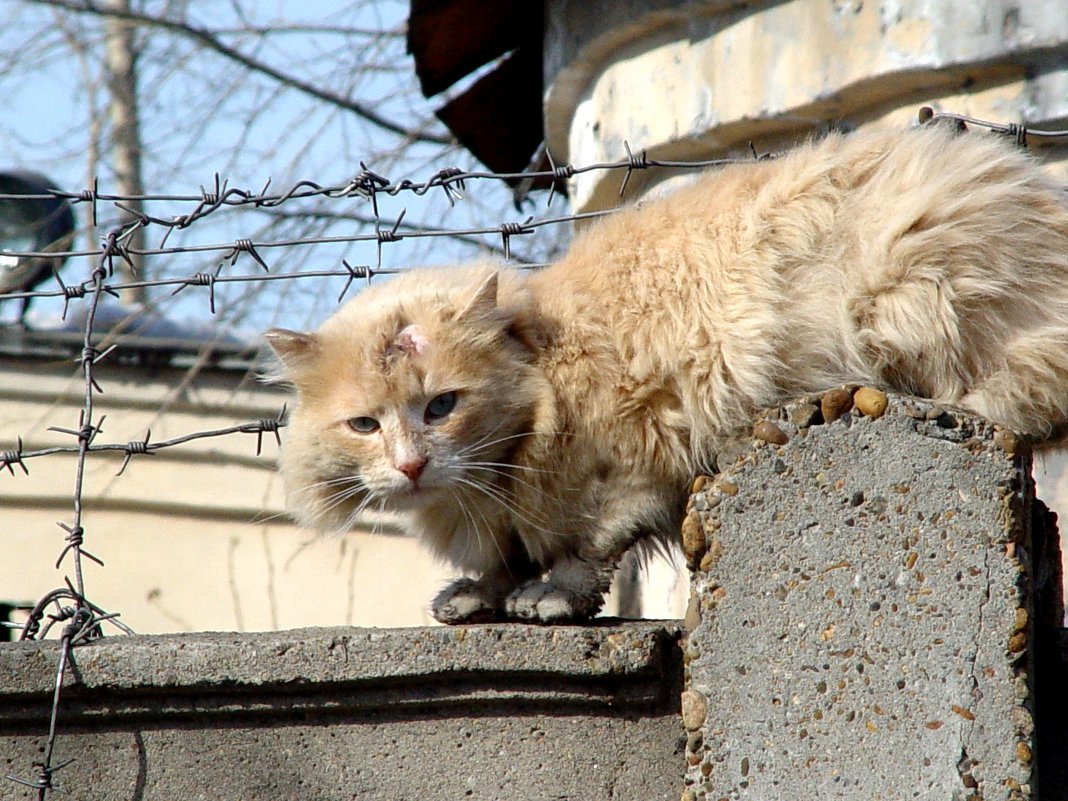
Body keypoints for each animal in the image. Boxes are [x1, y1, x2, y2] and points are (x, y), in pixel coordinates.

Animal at [262, 125, 1068, 627]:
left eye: (441, 407)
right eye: (364, 425)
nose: (412, 466)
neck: (544, 360)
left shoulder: (635, 462)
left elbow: (586, 549)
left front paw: (544, 597)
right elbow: (505, 558)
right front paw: (481, 593)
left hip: (912, 294)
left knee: (1017, 399)